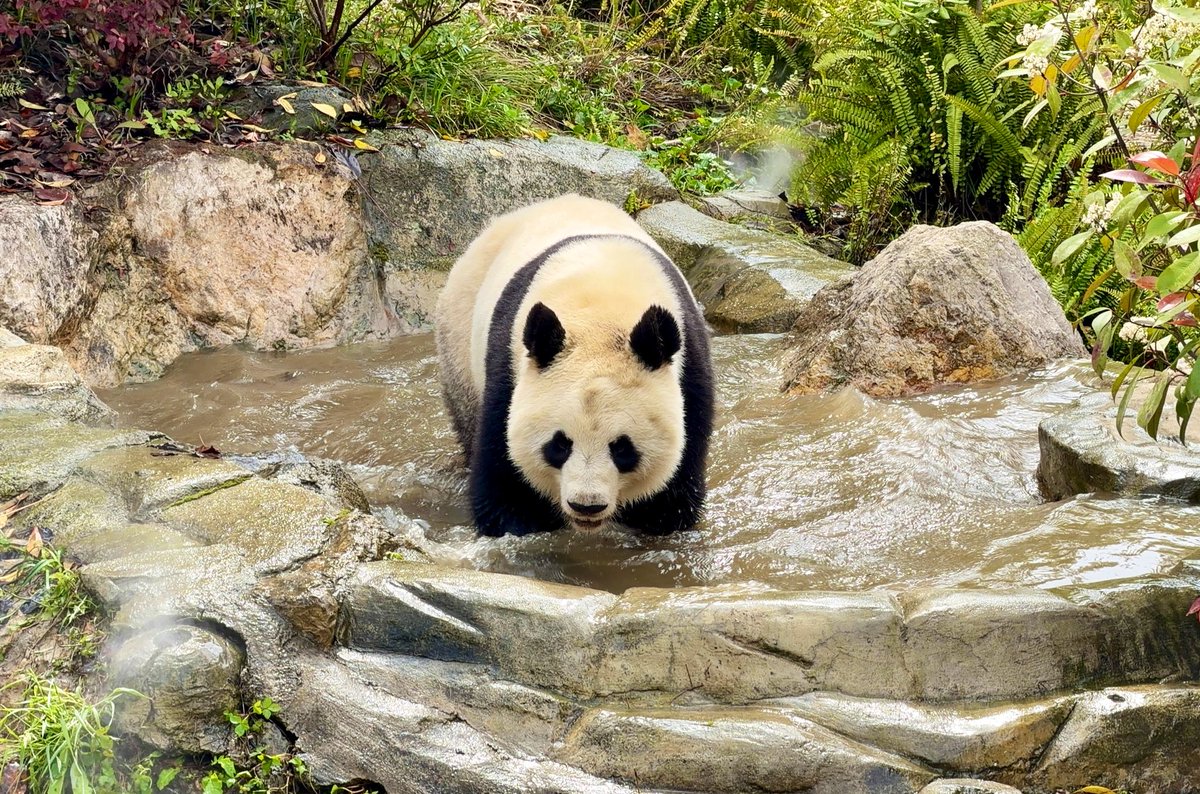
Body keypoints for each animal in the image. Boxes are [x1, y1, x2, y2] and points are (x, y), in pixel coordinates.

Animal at [434, 193, 714, 537]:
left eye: (623, 448)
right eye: (559, 444)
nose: (586, 505)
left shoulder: (690, 370)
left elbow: (674, 486)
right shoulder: (509, 368)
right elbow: (505, 475)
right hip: (460, 335)